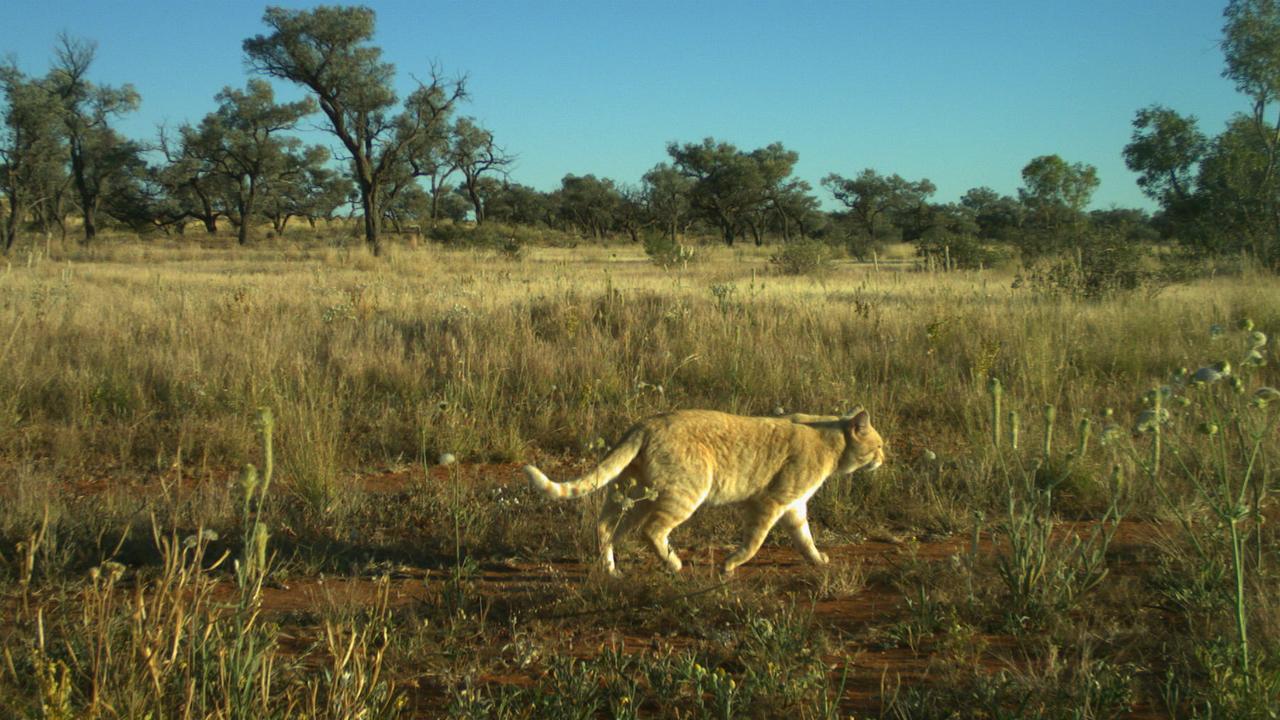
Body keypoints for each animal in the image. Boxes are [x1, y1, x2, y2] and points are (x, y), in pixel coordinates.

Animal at [522, 409, 880, 571]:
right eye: (878, 447)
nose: (884, 458)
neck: (832, 440)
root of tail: (646, 423)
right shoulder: (771, 503)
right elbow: (754, 542)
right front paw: (730, 565)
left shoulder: (794, 508)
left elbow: (806, 540)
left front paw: (819, 560)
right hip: (684, 495)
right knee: (652, 530)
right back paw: (674, 564)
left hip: (635, 496)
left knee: (606, 527)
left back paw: (611, 570)